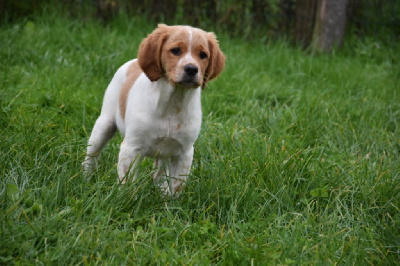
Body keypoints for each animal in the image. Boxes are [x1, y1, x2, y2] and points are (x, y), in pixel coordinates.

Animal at [82, 24, 225, 195]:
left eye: (203, 55)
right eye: (176, 50)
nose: (191, 69)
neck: (173, 102)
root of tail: (134, 61)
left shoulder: (184, 153)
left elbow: (175, 186)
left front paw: (168, 201)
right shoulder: (131, 148)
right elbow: (126, 182)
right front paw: (125, 198)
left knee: (160, 173)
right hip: (104, 125)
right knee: (92, 155)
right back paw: (85, 178)